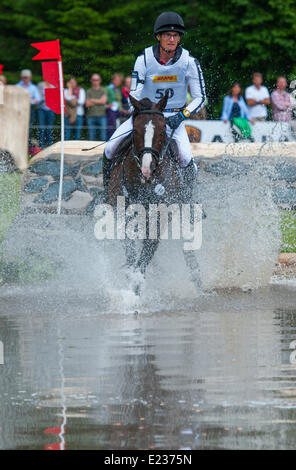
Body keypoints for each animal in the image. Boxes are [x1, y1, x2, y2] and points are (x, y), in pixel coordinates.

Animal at [106, 92, 201, 294]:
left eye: (163, 129)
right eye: (135, 130)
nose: (147, 169)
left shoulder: (160, 217)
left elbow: (147, 250)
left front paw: (135, 287)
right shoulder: (123, 215)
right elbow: (131, 249)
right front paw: (131, 278)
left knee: (187, 245)